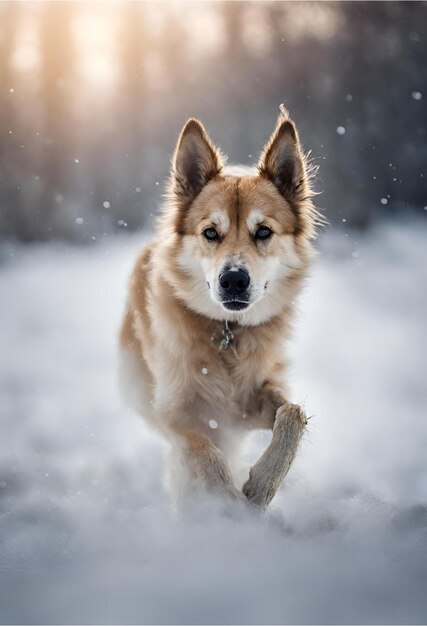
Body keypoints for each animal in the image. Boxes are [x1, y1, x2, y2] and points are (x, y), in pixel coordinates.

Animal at [120, 108, 320, 508]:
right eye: (210, 233)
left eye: (263, 232)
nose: (234, 280)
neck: (229, 331)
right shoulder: (173, 412)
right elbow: (205, 456)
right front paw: (230, 506)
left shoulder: (257, 399)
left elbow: (293, 415)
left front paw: (260, 486)